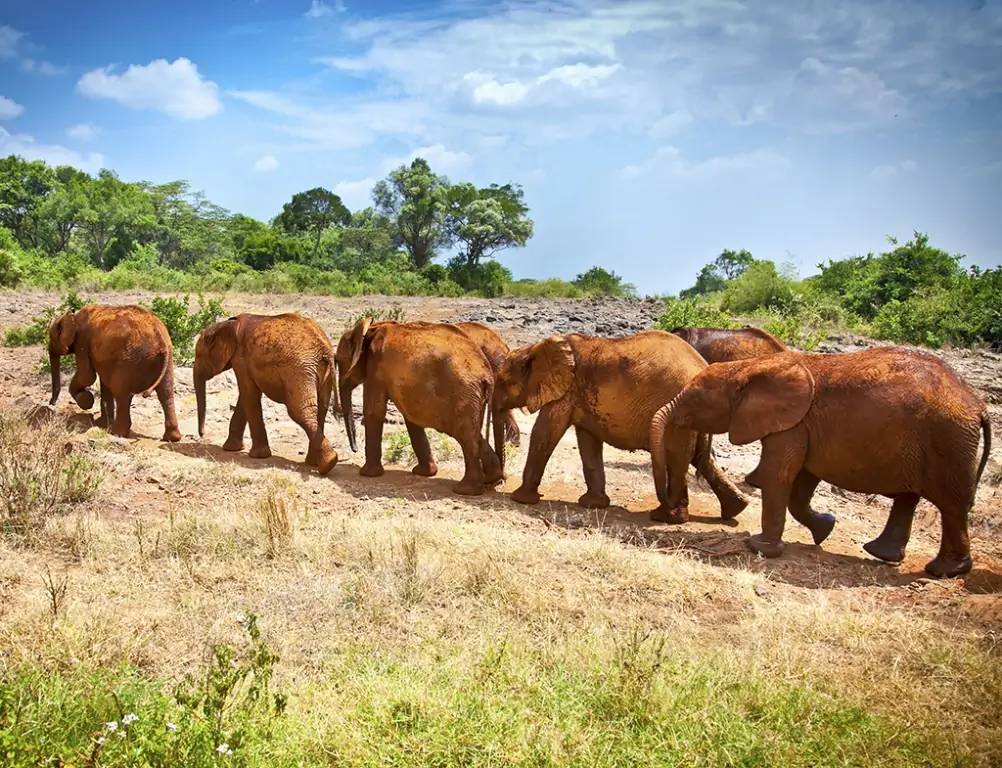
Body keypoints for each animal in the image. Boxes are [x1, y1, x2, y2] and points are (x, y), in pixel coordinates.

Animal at [48, 304, 180, 441]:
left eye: (51, 338)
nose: (51, 404)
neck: (74, 315)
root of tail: (161, 340)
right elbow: (102, 382)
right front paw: (101, 423)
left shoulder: (82, 341)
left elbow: (87, 376)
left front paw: (87, 402)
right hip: (166, 360)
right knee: (166, 393)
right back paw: (172, 438)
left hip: (129, 360)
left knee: (121, 393)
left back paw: (116, 433)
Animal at [193, 312, 338, 475]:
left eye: (198, 355)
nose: (202, 435)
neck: (227, 324)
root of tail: (325, 349)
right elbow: (245, 396)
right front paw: (231, 449)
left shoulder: (241, 359)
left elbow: (249, 394)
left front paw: (257, 456)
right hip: (320, 373)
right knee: (321, 408)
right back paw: (318, 463)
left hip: (299, 371)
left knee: (300, 411)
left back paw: (327, 464)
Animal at [336, 318, 505, 499]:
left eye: (337, 361)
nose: (354, 450)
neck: (372, 328)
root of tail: (487, 374)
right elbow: (410, 416)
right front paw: (423, 473)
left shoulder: (376, 367)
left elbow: (374, 411)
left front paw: (367, 474)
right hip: (471, 397)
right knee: (471, 433)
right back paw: (491, 479)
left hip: (464, 393)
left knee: (465, 435)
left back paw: (465, 490)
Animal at [492, 328, 753, 521]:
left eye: (503, 381)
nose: (500, 480)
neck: (537, 348)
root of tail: (702, 366)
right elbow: (588, 442)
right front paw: (593, 505)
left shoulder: (566, 392)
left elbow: (545, 433)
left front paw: (520, 499)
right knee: (700, 458)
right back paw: (734, 510)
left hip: (679, 412)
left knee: (678, 456)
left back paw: (667, 517)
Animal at [649, 348, 993, 577]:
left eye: (695, 399)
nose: (662, 511)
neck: (751, 366)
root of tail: (978, 405)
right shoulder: (804, 427)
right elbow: (801, 484)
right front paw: (825, 529)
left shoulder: (791, 425)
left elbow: (778, 476)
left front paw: (759, 548)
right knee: (910, 497)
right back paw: (884, 554)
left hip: (947, 441)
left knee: (950, 505)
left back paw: (943, 571)